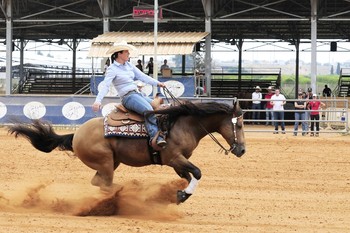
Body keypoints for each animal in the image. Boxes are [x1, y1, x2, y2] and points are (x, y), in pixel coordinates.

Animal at [7, 98, 243, 204]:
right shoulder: (174, 157)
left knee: (98, 183)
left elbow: (190, 176)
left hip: (112, 162)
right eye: (239, 125)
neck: (183, 124)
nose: (241, 150)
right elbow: (198, 173)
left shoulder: (177, 162)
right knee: (105, 184)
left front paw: (181, 194)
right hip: (104, 161)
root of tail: (77, 134)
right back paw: (127, 192)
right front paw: (182, 194)